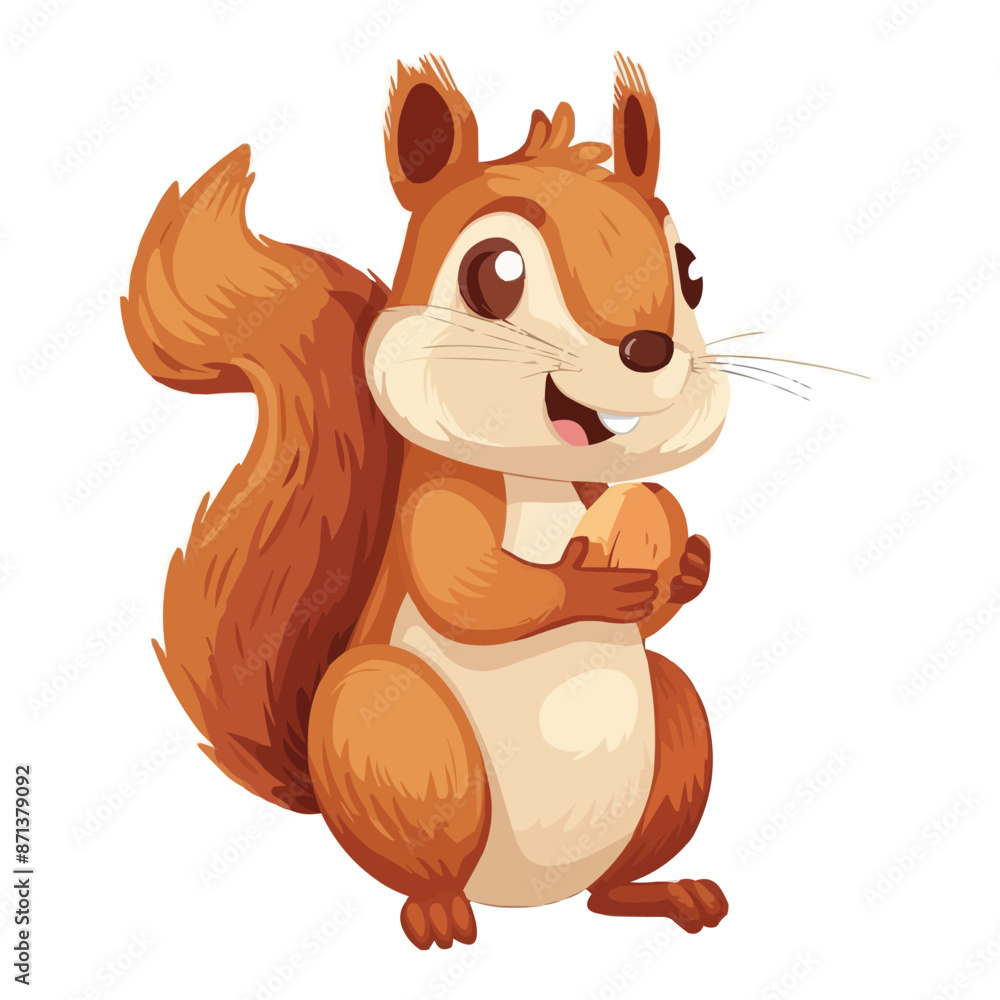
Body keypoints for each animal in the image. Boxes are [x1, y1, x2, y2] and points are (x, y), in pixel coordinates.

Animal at [122, 53, 731, 950]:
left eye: (690, 270)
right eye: (496, 273)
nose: (649, 348)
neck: (538, 476)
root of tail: (526, 899)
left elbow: (649, 609)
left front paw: (685, 566)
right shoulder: (438, 505)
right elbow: (469, 589)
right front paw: (595, 584)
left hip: (676, 727)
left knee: (610, 885)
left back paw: (665, 894)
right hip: (397, 732)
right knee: (428, 863)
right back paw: (438, 910)